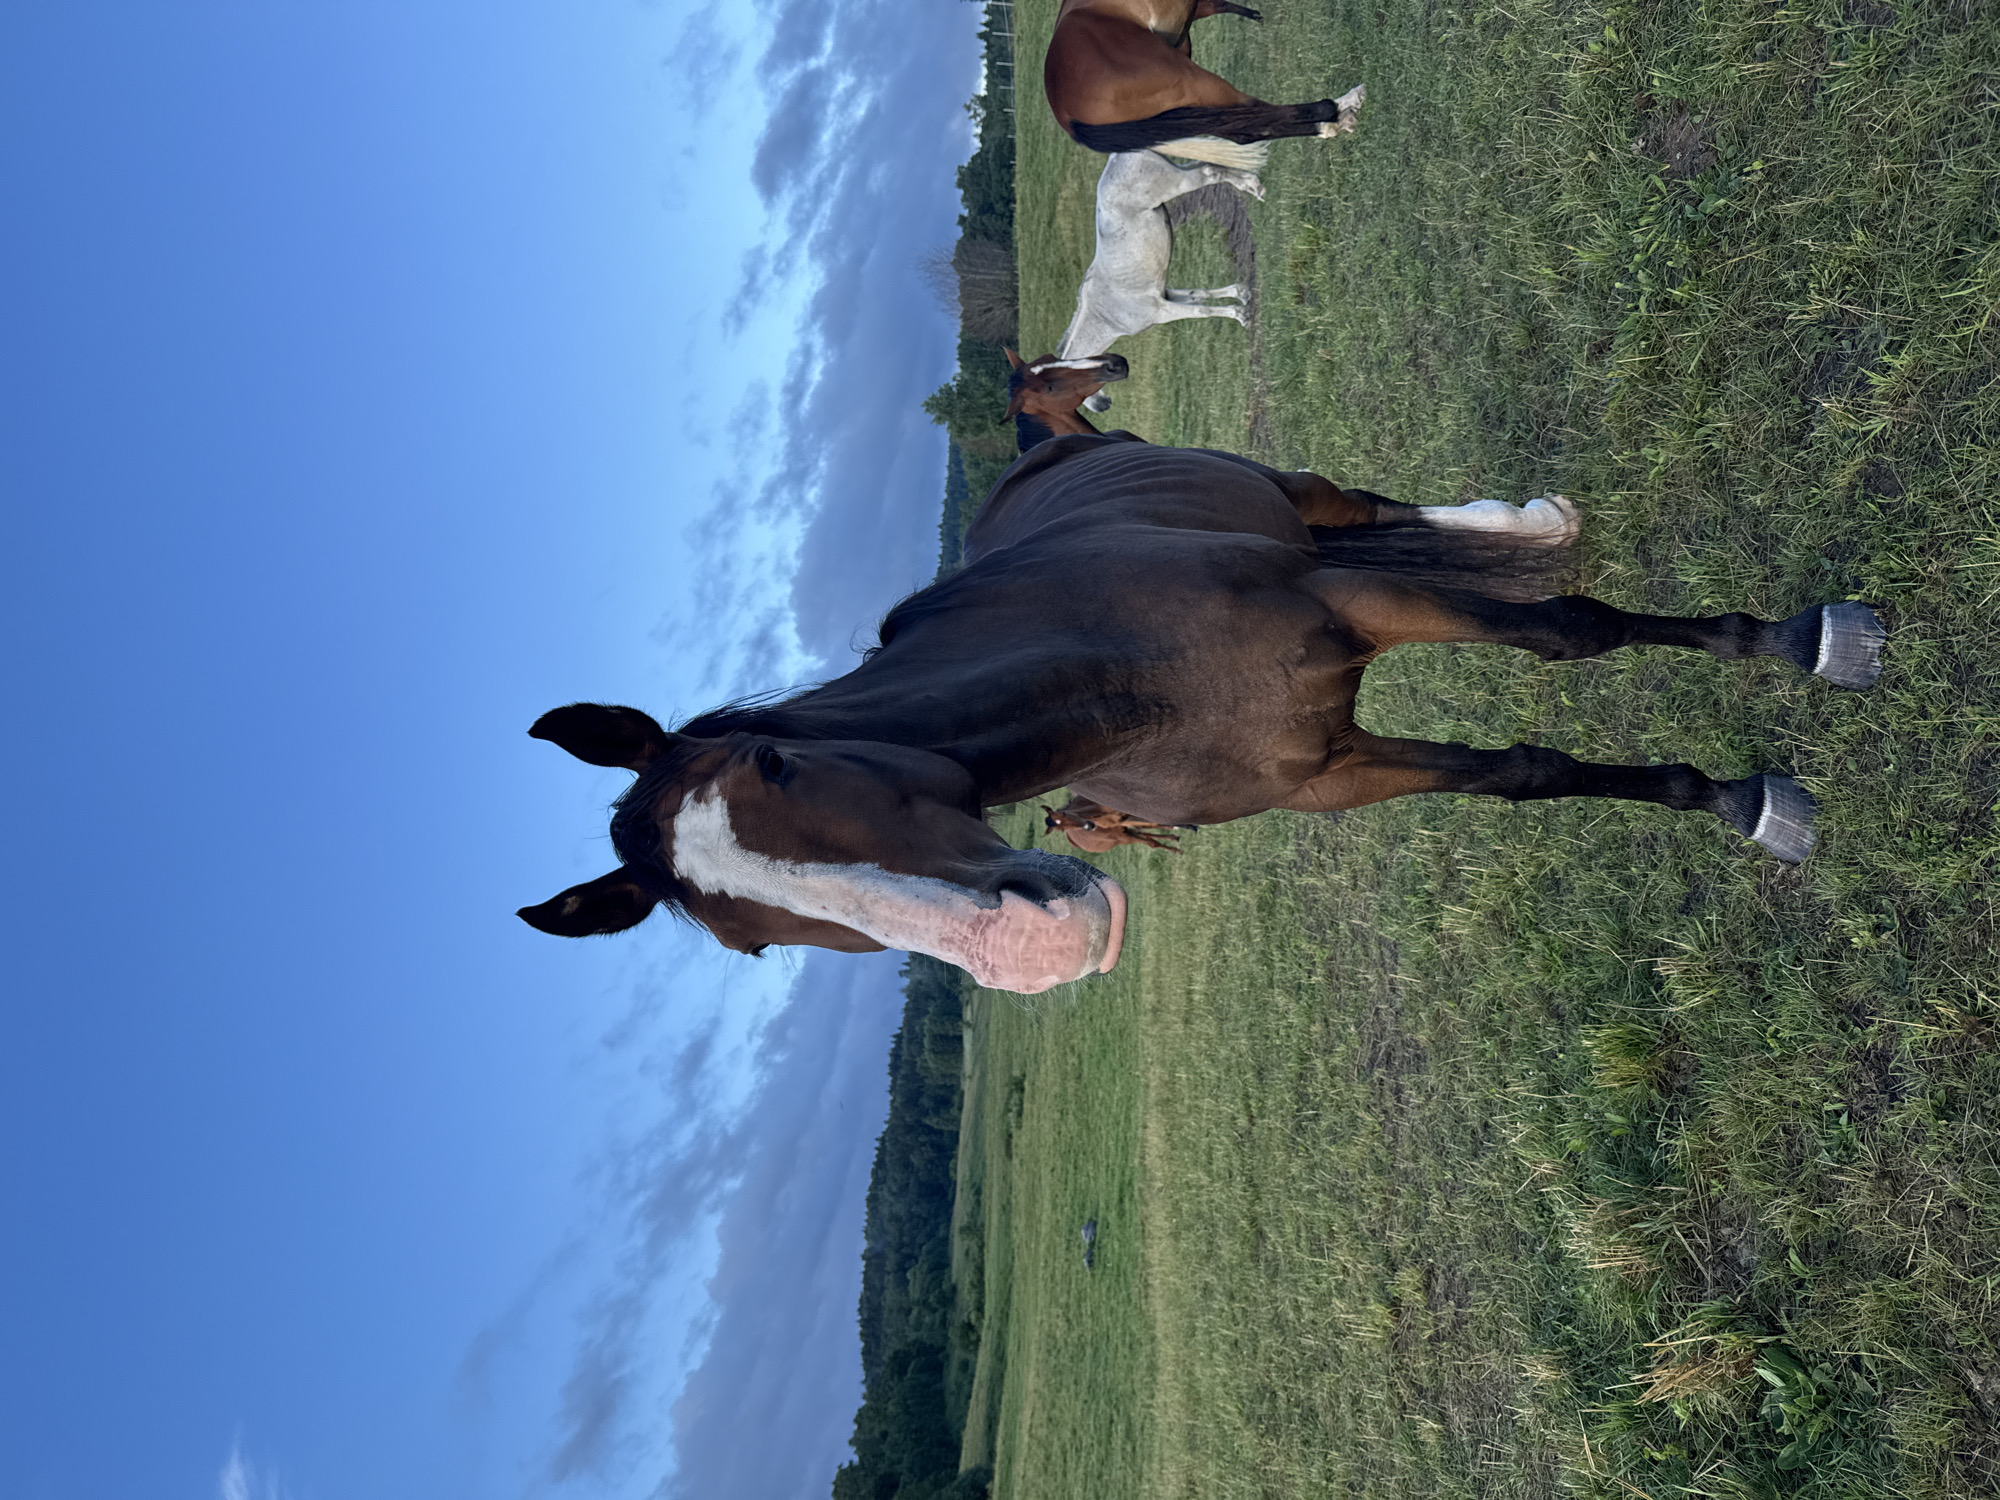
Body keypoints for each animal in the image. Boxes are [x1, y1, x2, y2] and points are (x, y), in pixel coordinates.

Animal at [521, 434, 1887, 994]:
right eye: (748, 945)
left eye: (774, 765)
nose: (1028, 954)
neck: (1133, 692)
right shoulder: (1329, 771)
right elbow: (1523, 772)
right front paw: (1728, 794)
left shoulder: (1350, 599)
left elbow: (1570, 634)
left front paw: (1797, 654)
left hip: (1302, 504)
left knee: (1375, 509)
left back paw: (1526, 521)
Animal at [1046, 0, 1364, 163]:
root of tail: (1065, 114)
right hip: (1192, 81)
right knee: (1256, 114)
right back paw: (1337, 109)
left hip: (1186, 105)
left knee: (1247, 128)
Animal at [1054, 150, 1264, 360]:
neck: (1104, 318)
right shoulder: (1167, 296)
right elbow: (1200, 295)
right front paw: (1241, 293)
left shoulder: (1162, 311)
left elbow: (1201, 310)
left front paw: (1240, 314)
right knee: (1208, 164)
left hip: (1181, 182)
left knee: (1209, 172)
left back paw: (1253, 186)